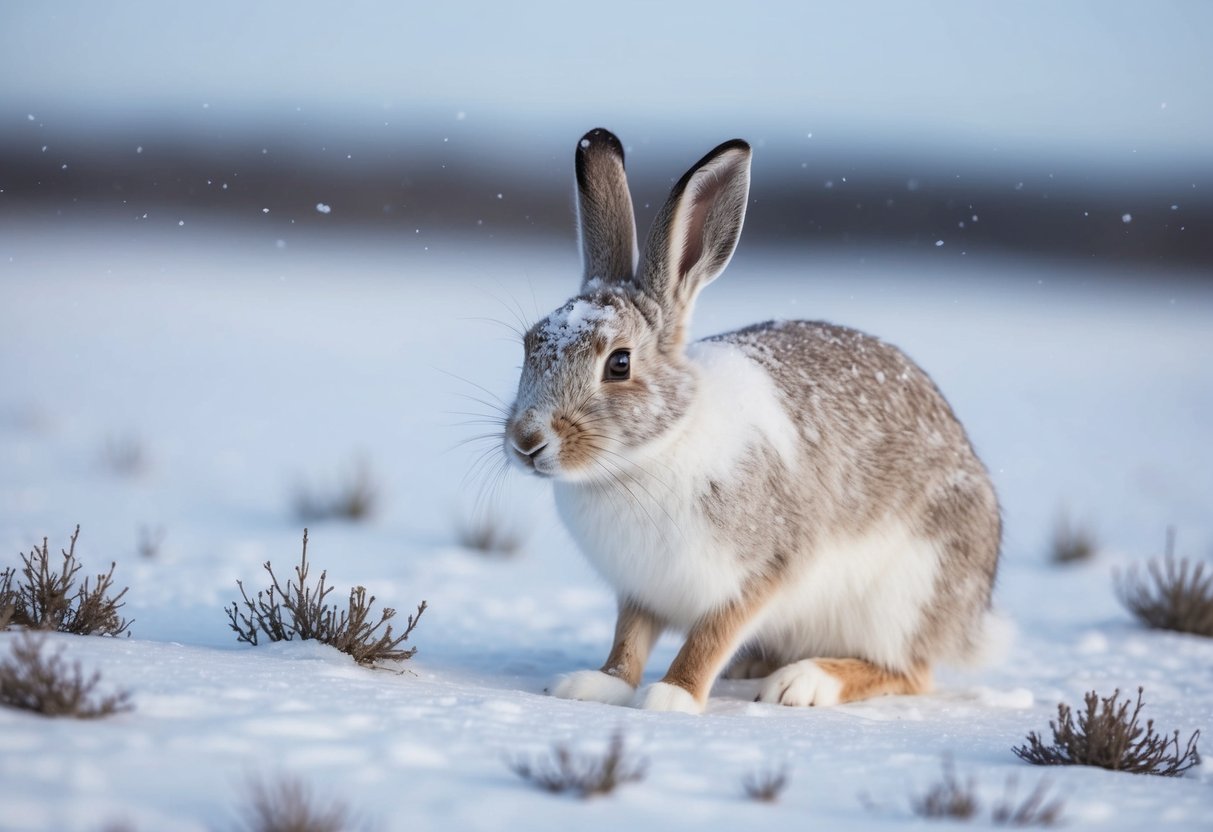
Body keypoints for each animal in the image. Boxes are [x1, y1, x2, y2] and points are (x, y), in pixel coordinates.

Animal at [501, 127, 1000, 714]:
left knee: (910, 672)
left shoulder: (760, 573)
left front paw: (671, 697)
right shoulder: (640, 591)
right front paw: (597, 685)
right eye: (529, 344)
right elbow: (629, 641)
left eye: (619, 364)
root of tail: (971, 616)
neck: (647, 455)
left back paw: (802, 682)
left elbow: (709, 638)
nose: (527, 441)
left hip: (904, 596)